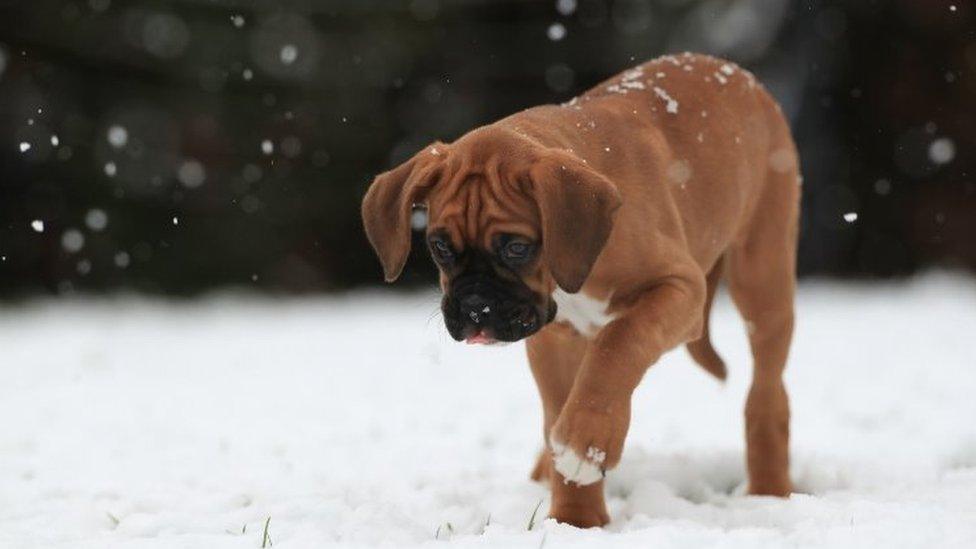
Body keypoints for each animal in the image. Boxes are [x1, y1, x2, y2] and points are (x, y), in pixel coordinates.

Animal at [362, 52, 796, 528]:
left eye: (516, 247)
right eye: (440, 246)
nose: (476, 308)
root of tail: (733, 71)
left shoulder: (679, 289)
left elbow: (619, 346)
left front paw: (587, 446)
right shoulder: (554, 339)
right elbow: (562, 403)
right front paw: (576, 519)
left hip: (763, 278)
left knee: (767, 395)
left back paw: (770, 490)